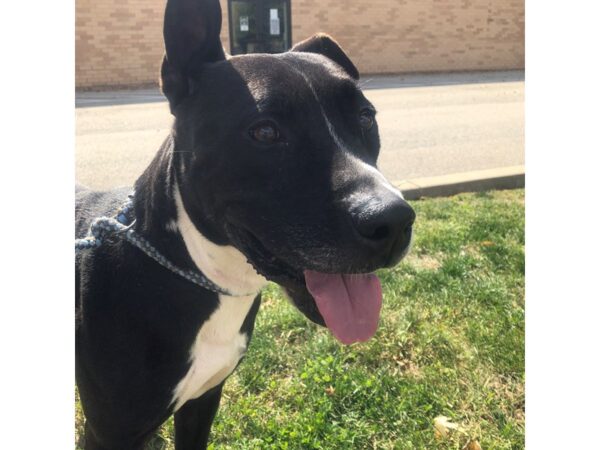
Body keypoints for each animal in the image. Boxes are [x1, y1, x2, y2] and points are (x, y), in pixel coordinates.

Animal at [75, 0, 414, 446]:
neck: (197, 272)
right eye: (265, 132)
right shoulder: (107, 433)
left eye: (365, 117)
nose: (393, 221)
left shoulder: (202, 401)